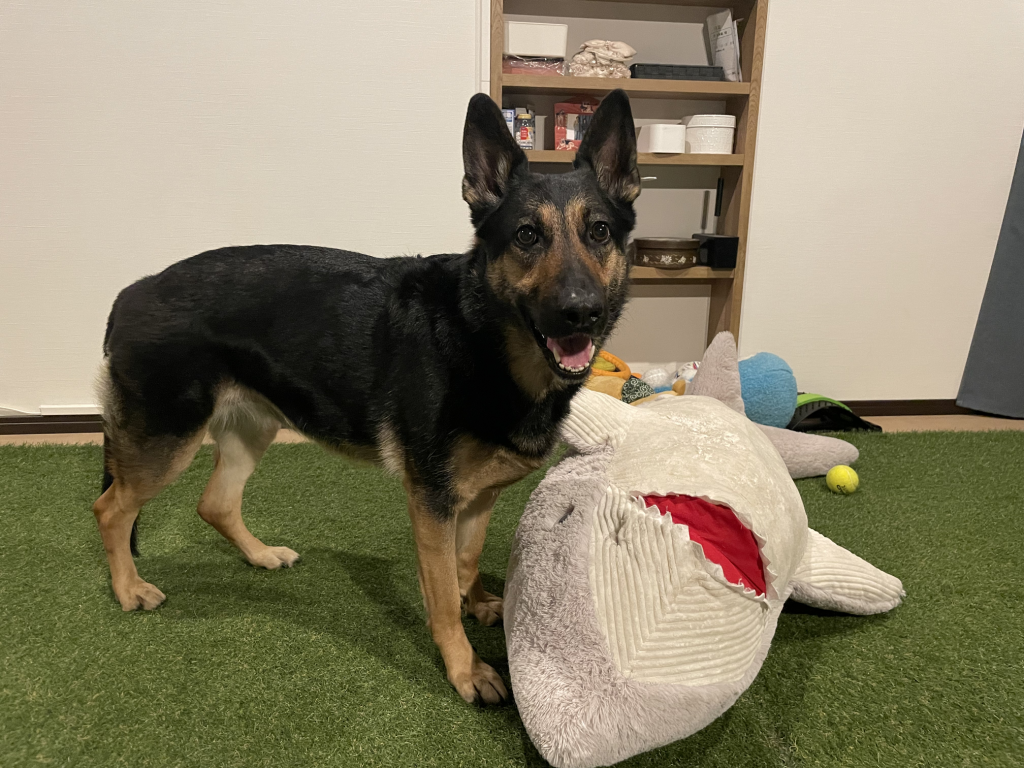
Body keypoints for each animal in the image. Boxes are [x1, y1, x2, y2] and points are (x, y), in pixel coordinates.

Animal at [92, 89, 640, 705]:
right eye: (526, 236)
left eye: (599, 232)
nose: (581, 312)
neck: (481, 336)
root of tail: (131, 291)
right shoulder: (431, 501)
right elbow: (442, 593)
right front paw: (465, 668)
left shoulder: (476, 498)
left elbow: (469, 560)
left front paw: (478, 603)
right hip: (168, 440)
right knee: (111, 509)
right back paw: (129, 589)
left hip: (252, 429)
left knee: (215, 503)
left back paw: (260, 556)